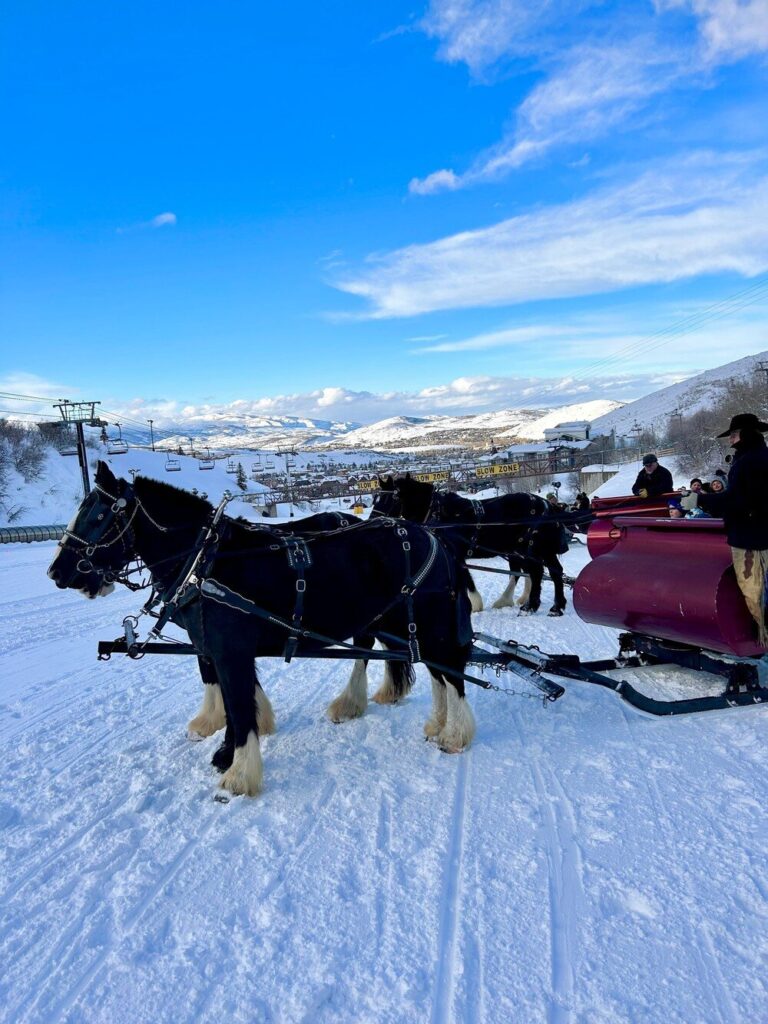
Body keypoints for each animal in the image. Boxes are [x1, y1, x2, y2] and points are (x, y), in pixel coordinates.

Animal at [48, 463, 475, 797]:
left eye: (97, 516)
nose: (56, 571)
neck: (206, 560)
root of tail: (432, 536)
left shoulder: (229, 651)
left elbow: (239, 707)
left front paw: (238, 774)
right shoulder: (211, 645)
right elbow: (230, 700)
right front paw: (224, 750)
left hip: (428, 620)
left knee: (448, 670)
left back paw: (454, 734)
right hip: (402, 621)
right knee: (431, 668)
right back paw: (427, 721)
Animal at [373, 474, 570, 616]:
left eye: (393, 498)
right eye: (375, 499)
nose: (373, 521)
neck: (439, 513)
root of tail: (545, 504)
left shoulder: (456, 552)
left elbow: (466, 578)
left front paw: (475, 605)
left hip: (532, 548)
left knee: (540, 572)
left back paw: (535, 606)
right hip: (530, 549)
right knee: (547, 571)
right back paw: (547, 605)